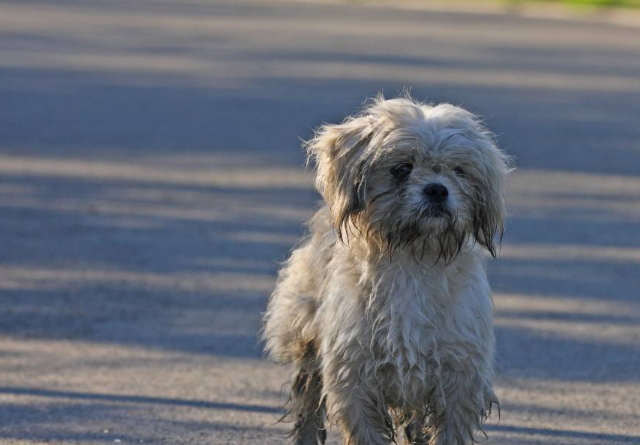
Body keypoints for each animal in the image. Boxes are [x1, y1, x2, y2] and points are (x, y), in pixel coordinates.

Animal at [262, 95, 510, 442]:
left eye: (459, 170)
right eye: (402, 169)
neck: (413, 259)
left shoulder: (458, 379)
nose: (437, 189)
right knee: (307, 404)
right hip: (307, 342)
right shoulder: (353, 377)